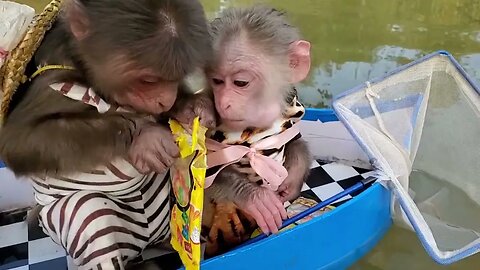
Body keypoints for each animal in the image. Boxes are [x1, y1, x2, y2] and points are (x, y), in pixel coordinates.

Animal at [199, 5, 312, 256]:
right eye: (217, 81)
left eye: (241, 83)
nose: (224, 103)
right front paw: (254, 197)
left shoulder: (291, 102)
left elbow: (294, 139)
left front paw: (292, 182)